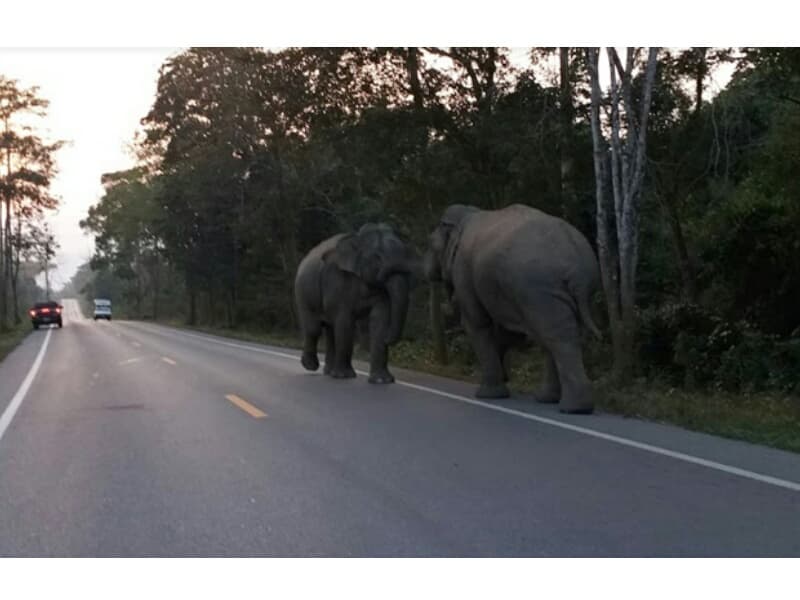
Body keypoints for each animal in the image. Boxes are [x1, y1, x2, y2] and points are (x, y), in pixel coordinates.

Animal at [294, 224, 418, 384]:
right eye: (377, 258)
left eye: (405, 258)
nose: (388, 340)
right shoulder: (337, 279)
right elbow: (345, 322)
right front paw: (344, 376)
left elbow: (380, 320)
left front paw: (382, 380)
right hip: (303, 292)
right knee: (314, 328)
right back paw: (311, 366)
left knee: (330, 331)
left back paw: (329, 372)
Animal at [424, 204, 600, 414]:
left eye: (430, 243)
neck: (468, 214)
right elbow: (507, 333)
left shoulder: (463, 271)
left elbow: (477, 323)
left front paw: (488, 394)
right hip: (563, 294)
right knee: (557, 334)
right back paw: (550, 400)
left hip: (538, 288)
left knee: (556, 337)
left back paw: (572, 408)